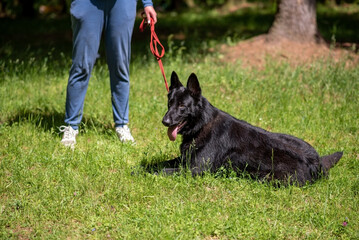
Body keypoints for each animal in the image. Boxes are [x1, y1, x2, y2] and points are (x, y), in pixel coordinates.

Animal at [160, 71, 344, 186]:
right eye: (170, 103)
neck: (202, 124)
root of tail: (317, 163)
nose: (164, 121)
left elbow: (162, 170)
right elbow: (161, 164)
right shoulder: (183, 162)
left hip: (264, 177)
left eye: (182, 106)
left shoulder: (193, 170)